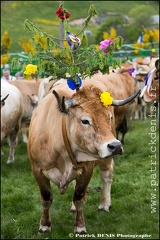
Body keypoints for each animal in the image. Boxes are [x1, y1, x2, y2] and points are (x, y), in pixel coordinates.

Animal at [27, 79, 140, 234]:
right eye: (85, 121)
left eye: (109, 117)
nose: (115, 146)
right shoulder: (37, 169)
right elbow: (46, 198)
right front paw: (44, 225)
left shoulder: (87, 169)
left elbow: (79, 197)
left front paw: (80, 226)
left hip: (106, 159)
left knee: (107, 176)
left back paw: (104, 204)